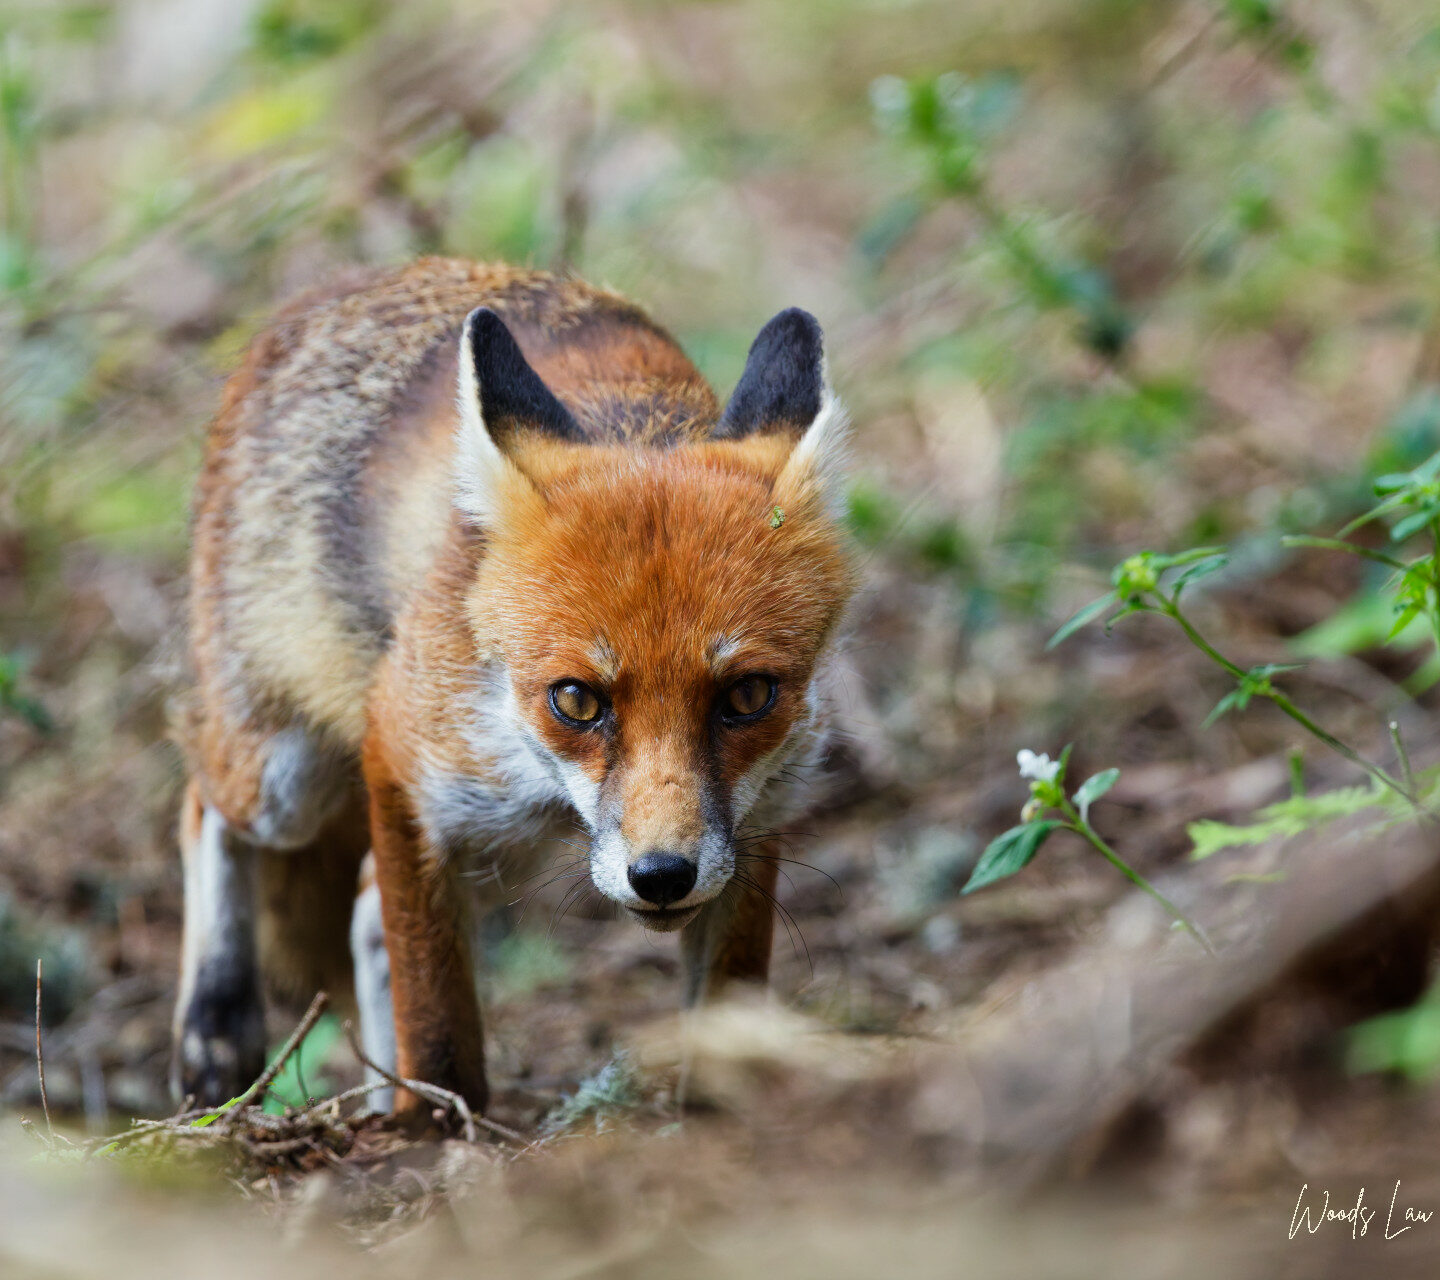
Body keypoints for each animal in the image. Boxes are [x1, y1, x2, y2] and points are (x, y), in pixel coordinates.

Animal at [171, 257, 856, 1120]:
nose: (662, 876)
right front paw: (434, 1130)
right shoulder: (402, 757)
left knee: (361, 911)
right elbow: (436, 1020)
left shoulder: (757, 818)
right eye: (576, 700)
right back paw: (216, 1023)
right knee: (201, 803)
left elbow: (726, 1012)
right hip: (284, 782)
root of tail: (333, 289)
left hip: (498, 845)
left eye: (746, 697)